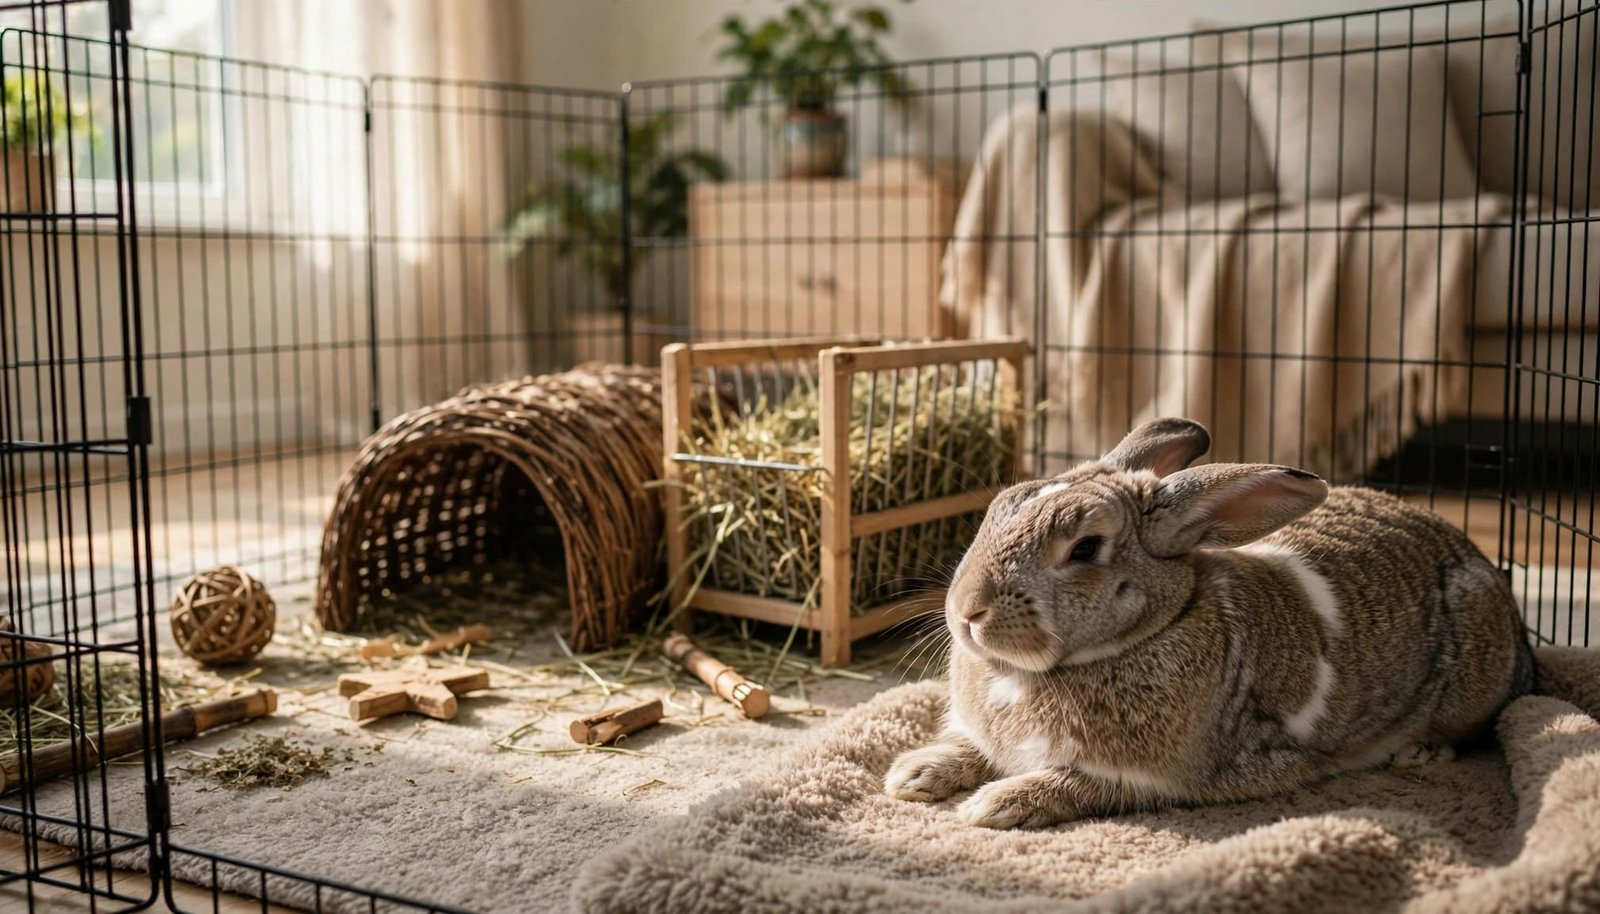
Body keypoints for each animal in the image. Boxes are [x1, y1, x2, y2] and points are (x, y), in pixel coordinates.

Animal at [884, 417, 1536, 829]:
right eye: (997, 509)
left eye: (1085, 548)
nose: (966, 611)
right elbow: (968, 746)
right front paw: (913, 773)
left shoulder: (1173, 777)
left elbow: (1079, 782)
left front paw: (995, 805)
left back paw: (1421, 752)